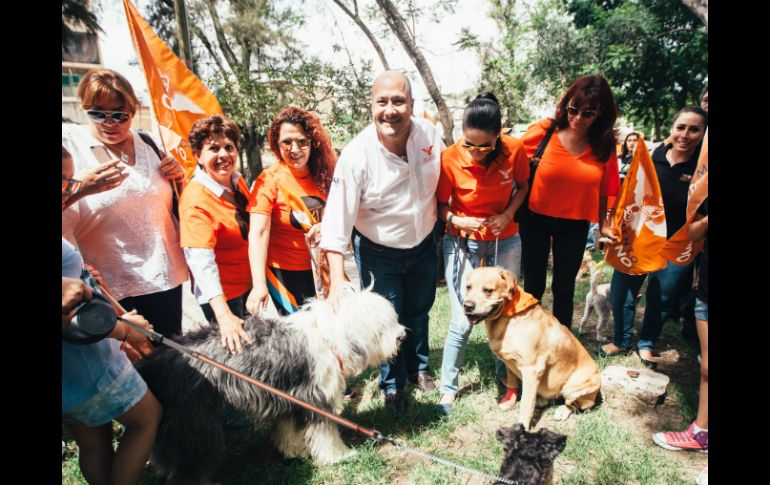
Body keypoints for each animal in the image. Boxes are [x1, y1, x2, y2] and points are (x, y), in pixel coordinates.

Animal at [134, 286, 404, 482]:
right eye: (383, 326)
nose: (402, 336)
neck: (330, 336)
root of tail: (153, 363)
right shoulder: (316, 397)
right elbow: (325, 432)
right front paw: (339, 455)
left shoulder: (288, 394)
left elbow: (288, 429)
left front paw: (294, 451)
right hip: (195, 421)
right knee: (191, 456)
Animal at [462, 266, 600, 430]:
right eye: (468, 287)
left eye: (488, 290)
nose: (467, 306)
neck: (508, 319)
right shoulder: (509, 362)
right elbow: (512, 383)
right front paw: (509, 402)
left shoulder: (531, 370)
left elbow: (526, 404)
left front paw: (522, 426)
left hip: (573, 388)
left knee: (574, 404)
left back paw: (562, 411)